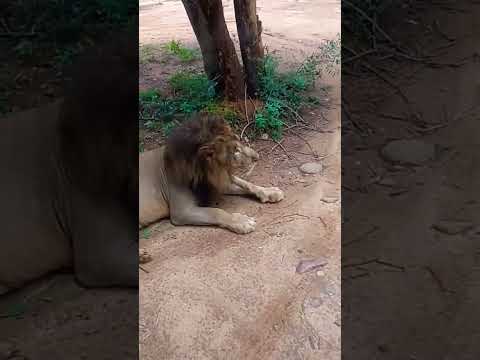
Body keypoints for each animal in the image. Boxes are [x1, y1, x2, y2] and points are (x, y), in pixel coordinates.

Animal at [139, 114, 284, 235]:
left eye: (240, 142)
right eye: (235, 151)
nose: (257, 157)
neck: (205, 172)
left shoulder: (217, 182)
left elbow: (245, 183)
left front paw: (269, 191)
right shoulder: (181, 212)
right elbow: (216, 212)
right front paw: (241, 221)